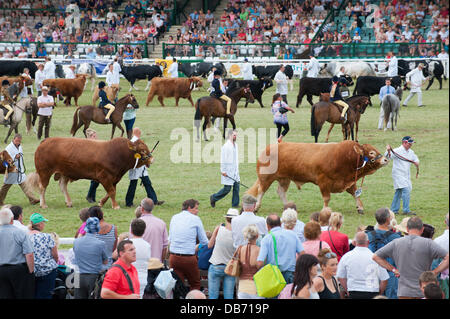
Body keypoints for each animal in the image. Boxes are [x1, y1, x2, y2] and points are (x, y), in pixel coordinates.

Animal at [248, 141, 388, 214]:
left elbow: (355, 194)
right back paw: (257, 206)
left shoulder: (348, 182)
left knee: (281, 192)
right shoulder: (323, 181)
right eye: (371, 152)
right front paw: (325, 210)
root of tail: (271, 146)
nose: (386, 159)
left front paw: (360, 207)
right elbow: (327, 198)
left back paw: (287, 206)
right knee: (261, 190)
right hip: (266, 177)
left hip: (284, 179)